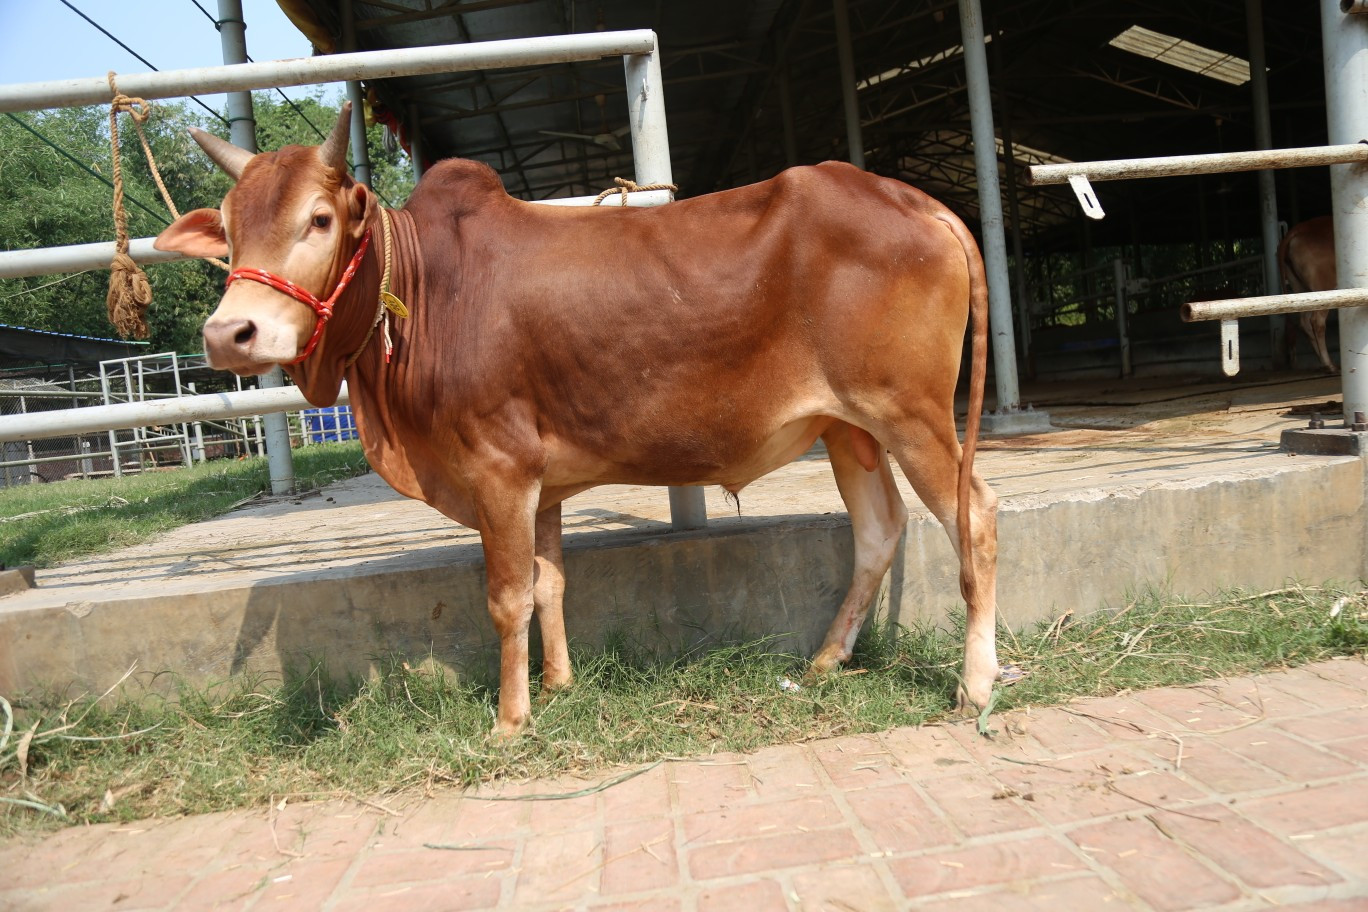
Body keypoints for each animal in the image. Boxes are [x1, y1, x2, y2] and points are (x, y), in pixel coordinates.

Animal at [154, 105, 1000, 737]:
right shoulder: (542, 479)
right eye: (228, 227)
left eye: (320, 219)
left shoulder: (498, 468)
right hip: (847, 426)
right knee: (879, 530)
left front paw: (510, 720)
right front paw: (558, 685)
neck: (426, 293)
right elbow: (549, 582)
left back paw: (977, 684)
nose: (230, 334)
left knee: (975, 518)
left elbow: (506, 596)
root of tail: (916, 200)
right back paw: (826, 661)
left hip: (911, 415)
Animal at [1278, 216, 1337, 374]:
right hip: (1323, 287)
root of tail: (1298, 229)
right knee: (1317, 321)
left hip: (1301, 287)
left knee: (1304, 321)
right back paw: (1328, 364)